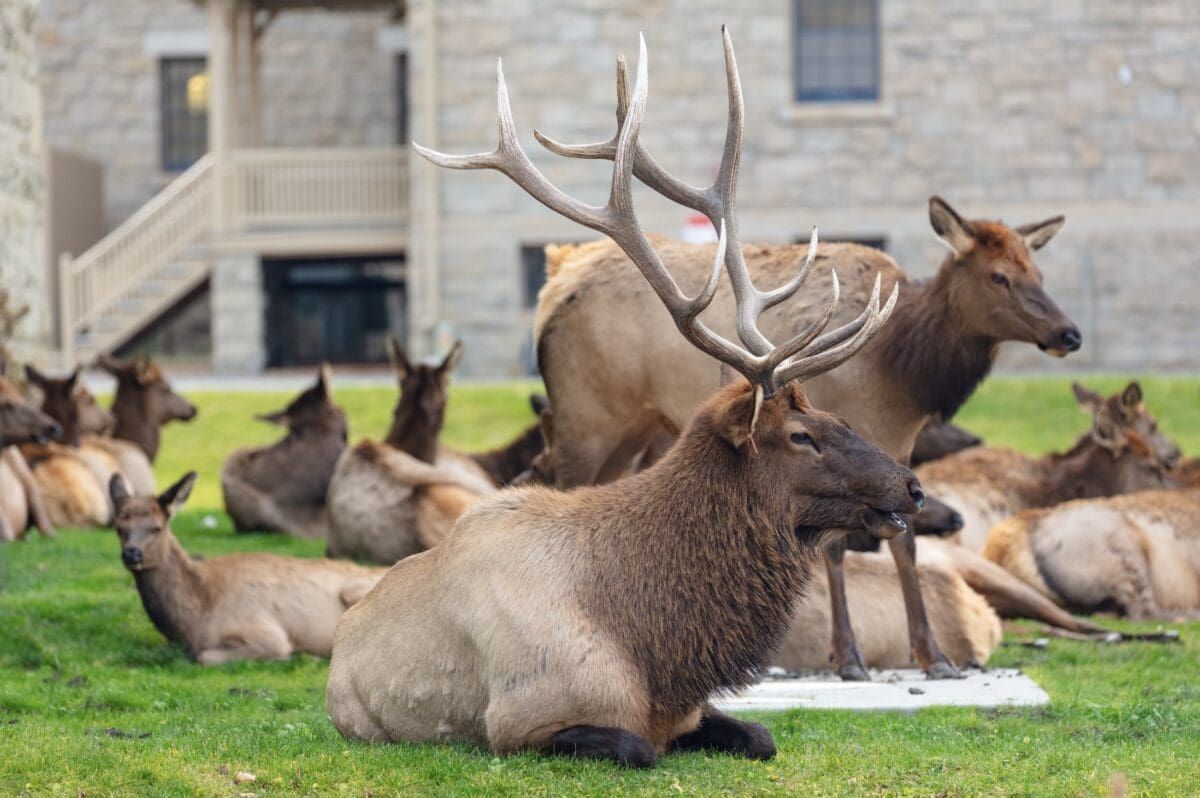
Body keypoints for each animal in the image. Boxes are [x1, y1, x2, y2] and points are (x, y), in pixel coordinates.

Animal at [111, 471, 387, 664]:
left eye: (156, 528)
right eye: (119, 527)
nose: (131, 553)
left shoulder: (265, 633)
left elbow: (205, 656)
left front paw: (295, 655)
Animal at [530, 41, 1080, 684]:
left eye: (1036, 270)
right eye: (998, 277)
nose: (1069, 333)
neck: (907, 375)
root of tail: (554, 281)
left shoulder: (899, 442)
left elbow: (903, 539)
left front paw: (934, 657)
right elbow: (839, 543)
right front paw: (851, 659)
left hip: (633, 428)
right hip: (587, 416)